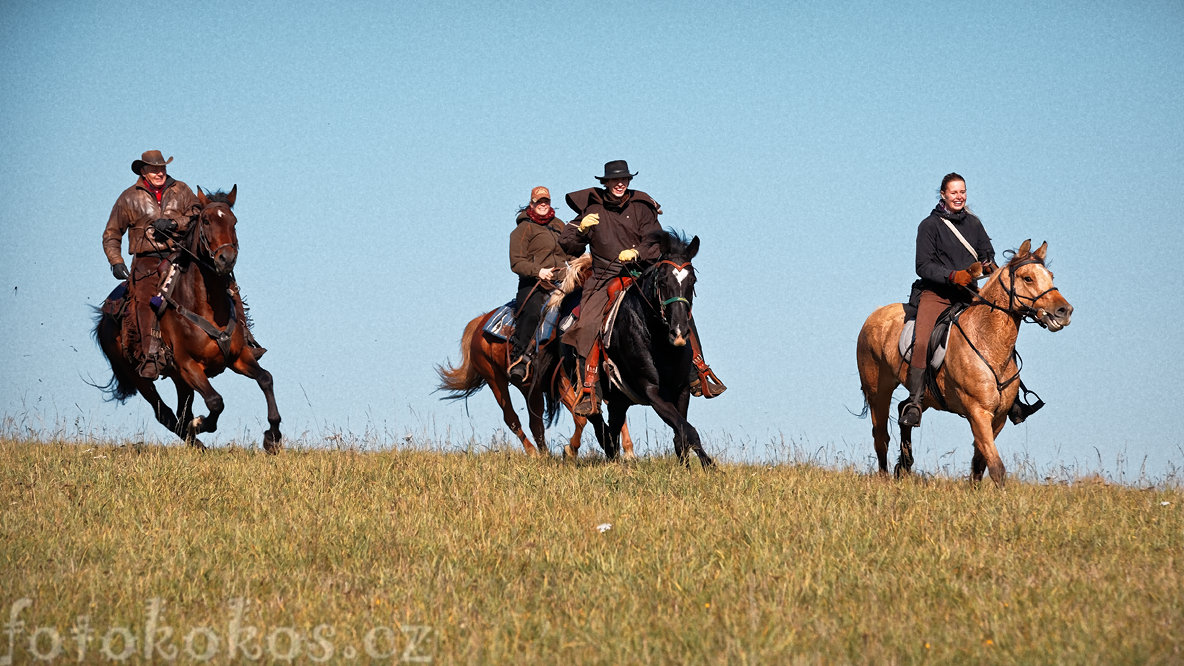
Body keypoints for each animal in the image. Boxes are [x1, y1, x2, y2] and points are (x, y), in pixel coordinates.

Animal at [92, 184, 281, 450]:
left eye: (233, 221)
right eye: (206, 220)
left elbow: (266, 379)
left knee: (181, 411)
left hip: (179, 380)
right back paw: (195, 440)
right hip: (140, 376)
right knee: (165, 413)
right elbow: (215, 402)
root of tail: (104, 318)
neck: (207, 308)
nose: (226, 259)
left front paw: (272, 437)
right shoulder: (188, 365)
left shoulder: (238, 357)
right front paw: (201, 424)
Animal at [435, 258, 634, 455]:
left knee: (535, 422)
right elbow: (582, 417)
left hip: (529, 387)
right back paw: (533, 453)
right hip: (495, 379)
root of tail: (479, 323)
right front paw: (571, 449)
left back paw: (544, 453)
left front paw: (627, 451)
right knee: (512, 419)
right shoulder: (561, 381)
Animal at [861, 238, 1075, 481]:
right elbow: (996, 466)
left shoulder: (998, 417)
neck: (988, 341)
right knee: (881, 436)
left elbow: (980, 462)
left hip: (924, 396)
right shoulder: (978, 412)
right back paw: (884, 478)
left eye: (1051, 275)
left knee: (904, 411)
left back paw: (904, 466)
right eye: (1028, 278)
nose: (1064, 311)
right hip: (878, 391)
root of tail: (875, 315)